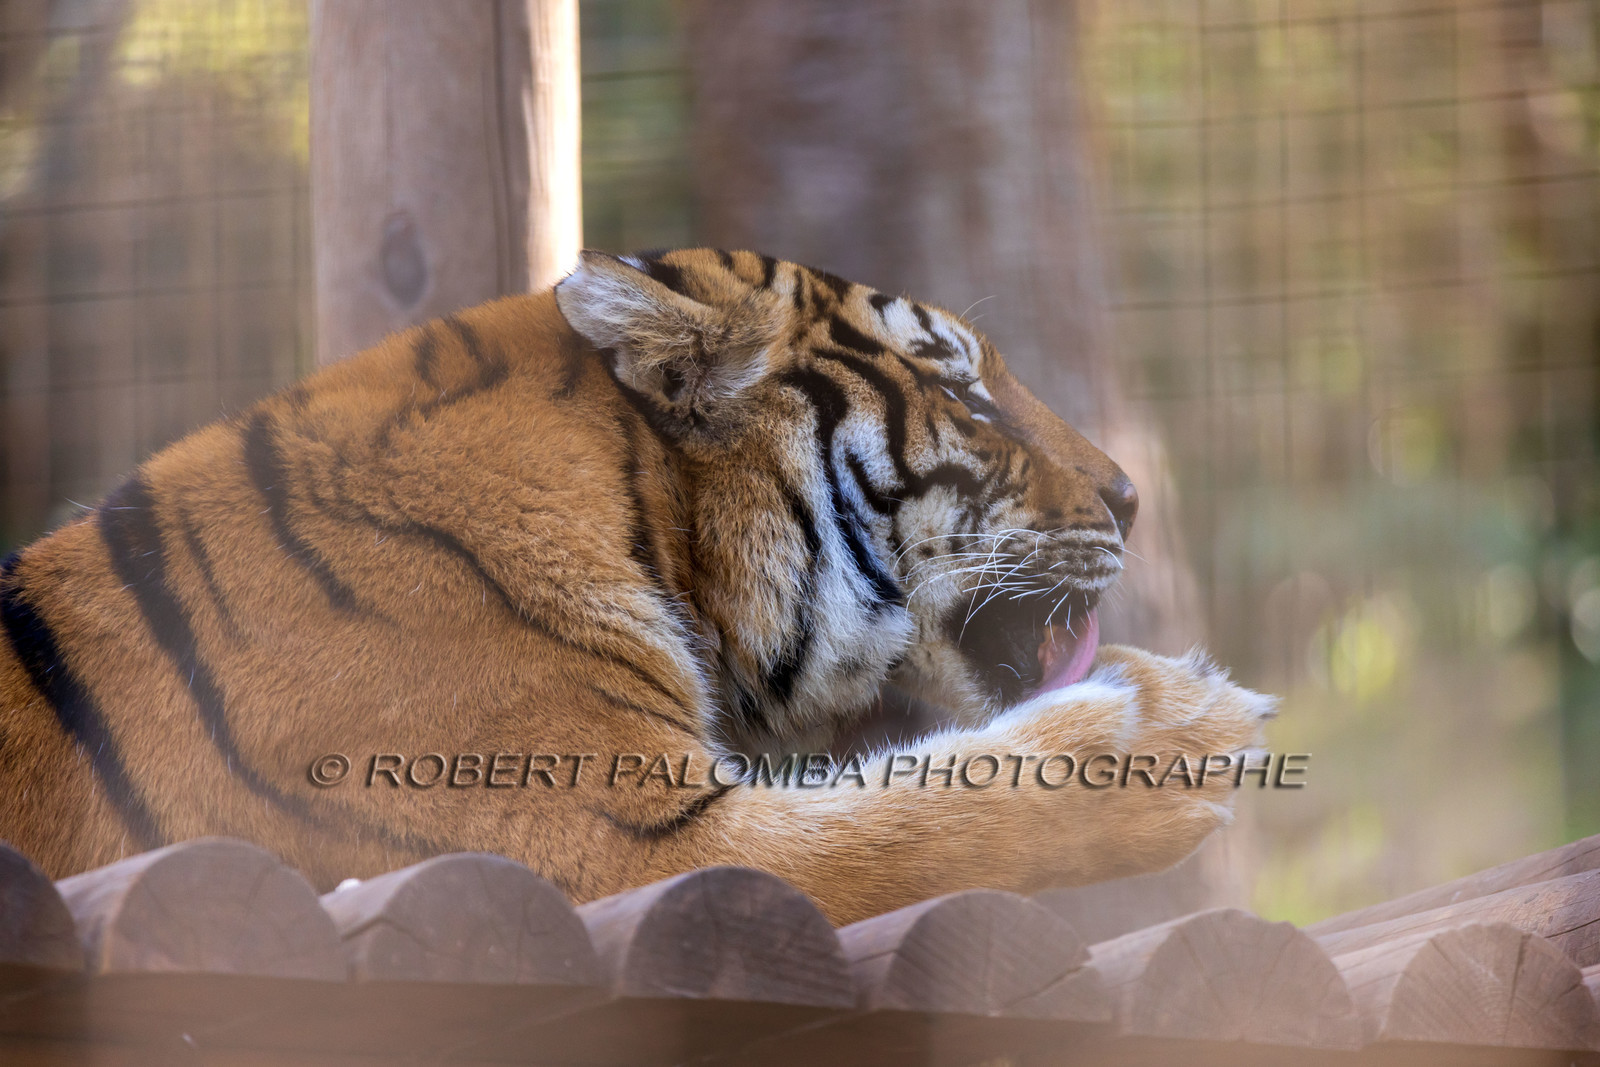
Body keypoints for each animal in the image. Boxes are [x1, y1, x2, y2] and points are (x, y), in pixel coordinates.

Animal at [0, 248, 1272, 925]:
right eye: (961, 390)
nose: (1130, 497)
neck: (645, 519)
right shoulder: (624, 844)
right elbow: (918, 816)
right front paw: (1178, 727)